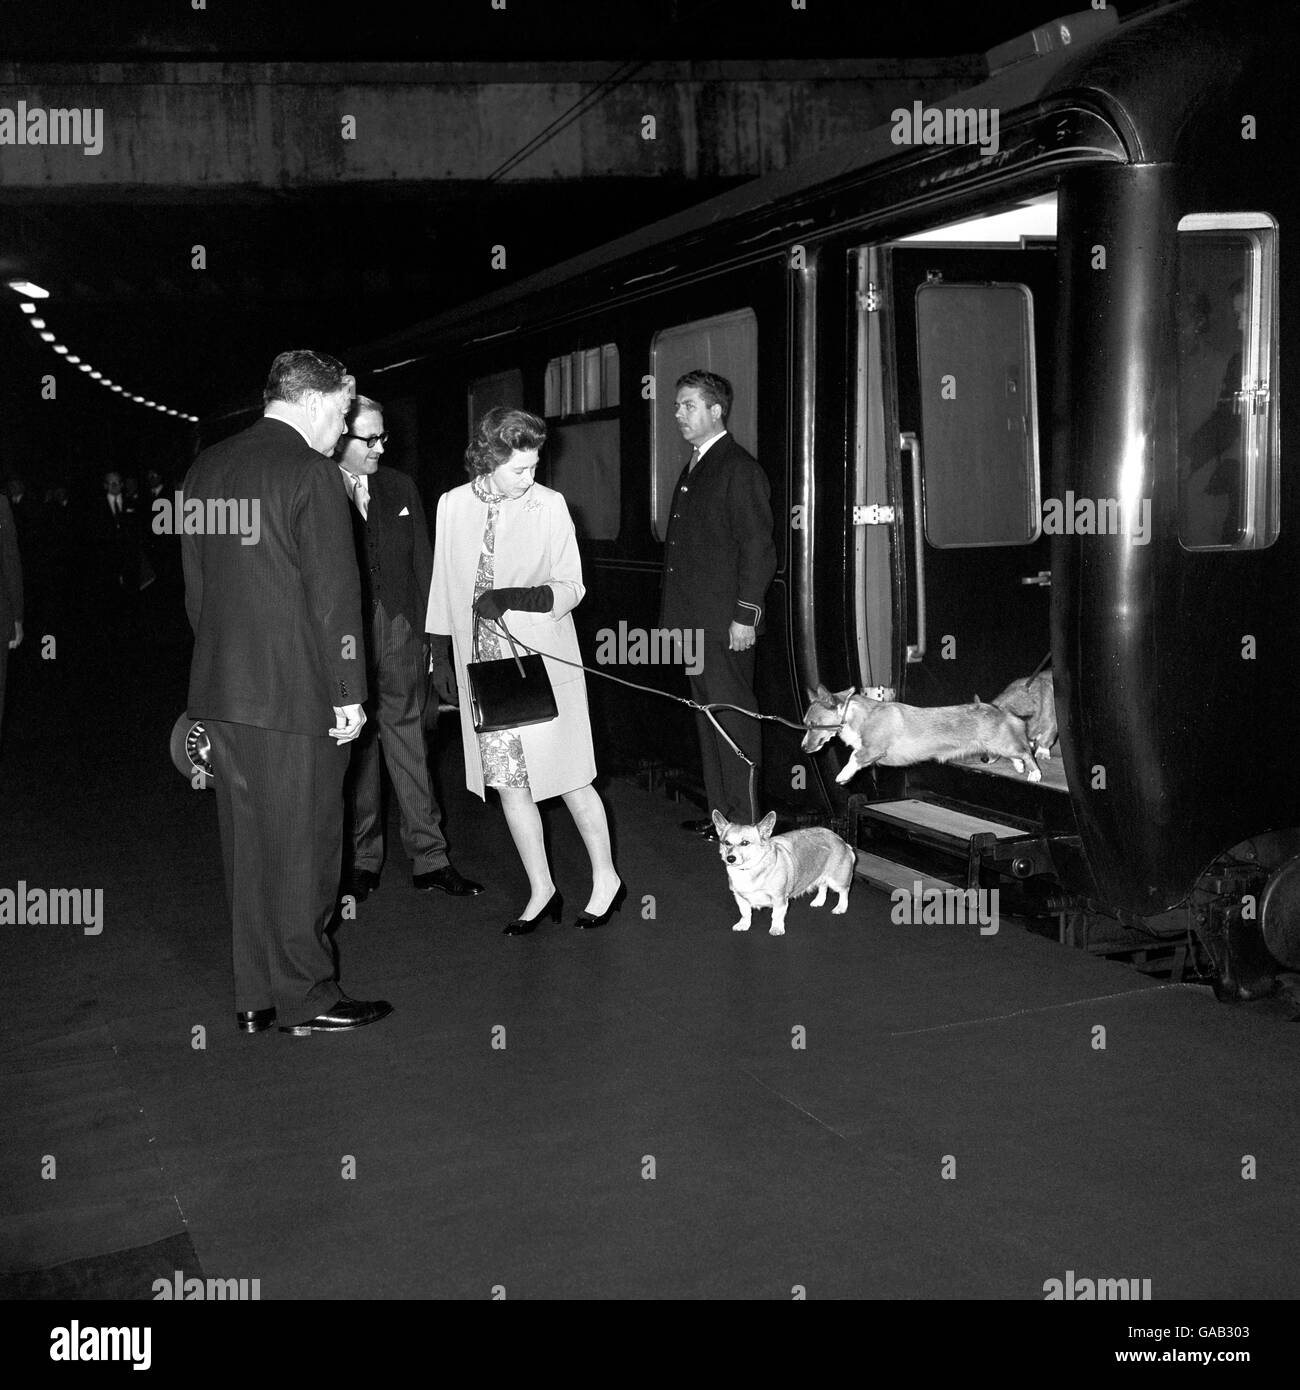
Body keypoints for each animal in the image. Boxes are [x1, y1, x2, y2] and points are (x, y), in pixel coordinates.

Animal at [711, 811, 856, 939]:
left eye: (745, 843)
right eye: (726, 843)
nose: (730, 858)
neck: (748, 870)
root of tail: (840, 839)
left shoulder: (779, 899)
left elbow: (776, 915)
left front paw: (776, 929)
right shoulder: (740, 897)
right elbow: (745, 912)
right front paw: (744, 925)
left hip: (837, 880)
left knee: (844, 891)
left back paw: (840, 908)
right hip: (820, 873)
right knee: (823, 886)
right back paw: (818, 901)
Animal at [800, 683, 1040, 783]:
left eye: (812, 724)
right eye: (805, 723)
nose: (803, 748)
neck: (852, 715)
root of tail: (1001, 710)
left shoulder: (872, 749)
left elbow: (853, 757)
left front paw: (843, 775)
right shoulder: (869, 753)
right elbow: (857, 757)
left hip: (1001, 743)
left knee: (1026, 751)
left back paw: (1035, 773)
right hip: (998, 744)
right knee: (1018, 753)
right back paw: (1019, 767)